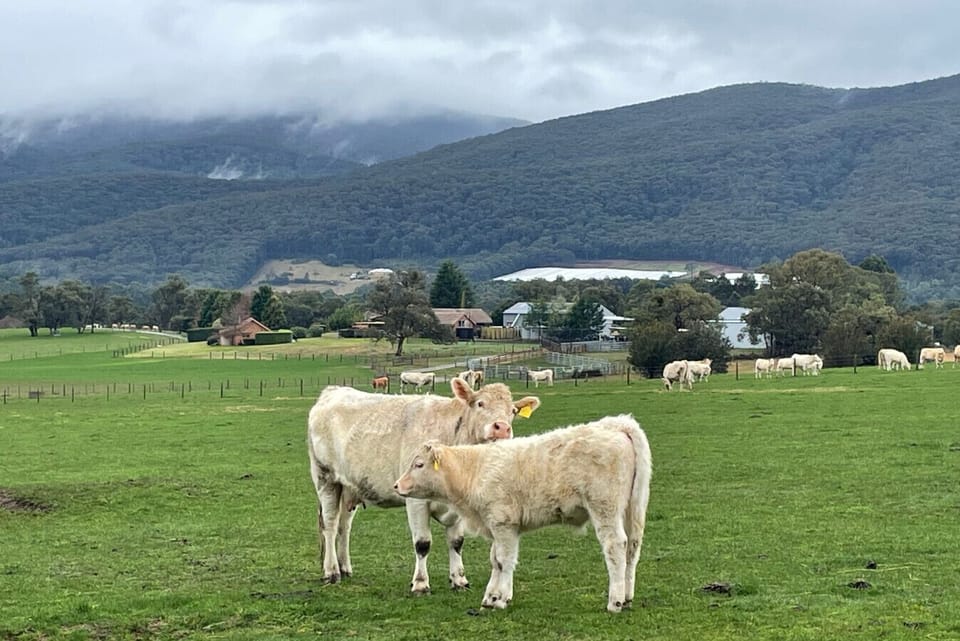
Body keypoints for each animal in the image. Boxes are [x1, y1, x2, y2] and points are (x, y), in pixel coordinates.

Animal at [307, 378, 541, 593]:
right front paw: (420, 583)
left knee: (344, 527)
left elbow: (457, 541)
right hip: (326, 479)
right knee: (330, 525)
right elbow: (422, 543)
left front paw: (459, 579)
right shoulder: (415, 500)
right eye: (480, 403)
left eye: (513, 411)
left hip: (349, 488)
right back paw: (331, 571)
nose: (502, 428)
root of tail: (332, 391)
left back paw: (345, 567)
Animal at [393, 414, 652, 613]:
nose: (396, 485)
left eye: (418, 464)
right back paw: (627, 597)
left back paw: (615, 602)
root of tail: (616, 424)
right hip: (633, 507)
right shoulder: (500, 526)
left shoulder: (503, 523)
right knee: (633, 547)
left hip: (605, 507)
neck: (475, 470)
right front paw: (492, 597)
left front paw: (499, 599)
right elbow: (496, 560)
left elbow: (504, 560)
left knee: (615, 546)